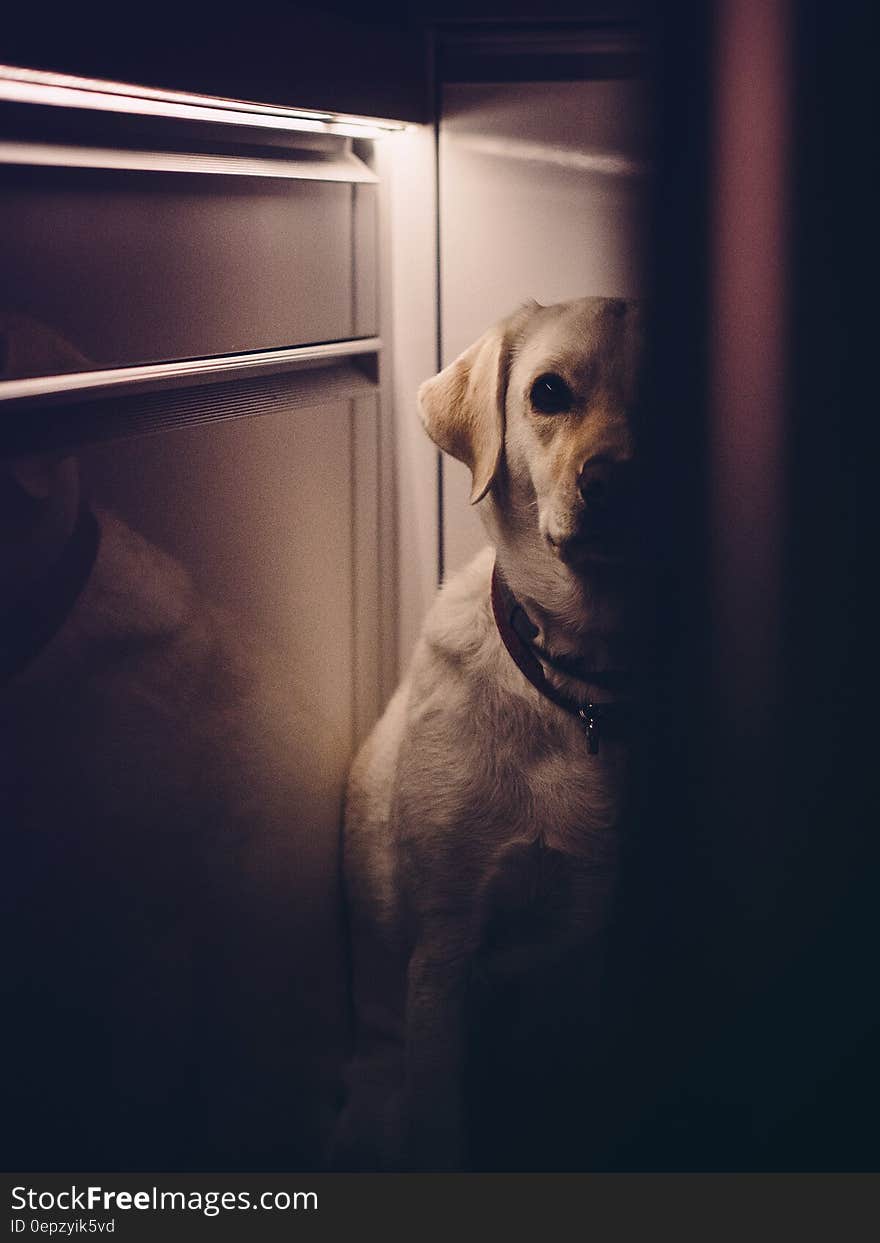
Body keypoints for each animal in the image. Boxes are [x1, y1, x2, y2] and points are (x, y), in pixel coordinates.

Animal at [333, 295, 641, 1168]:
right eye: (548, 392)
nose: (612, 481)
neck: (574, 689)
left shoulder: (588, 955)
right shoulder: (444, 948)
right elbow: (441, 1127)